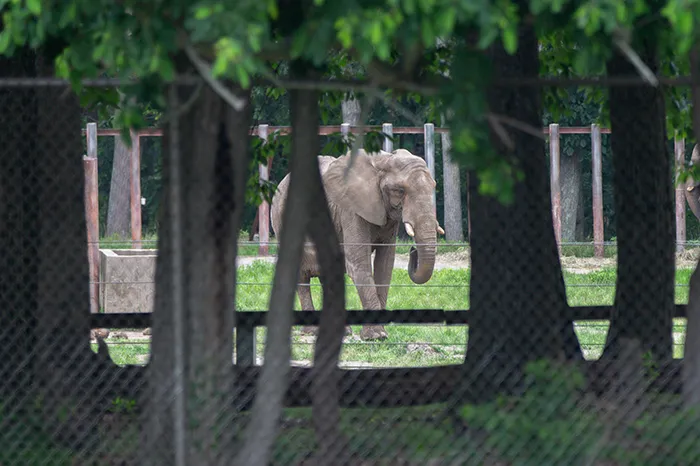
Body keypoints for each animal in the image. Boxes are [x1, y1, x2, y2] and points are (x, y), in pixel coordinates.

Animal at [270, 148, 444, 341]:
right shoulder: (351, 210)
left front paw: (379, 334)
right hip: (281, 217)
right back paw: (312, 331)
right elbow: (359, 264)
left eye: (433, 186)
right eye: (399, 190)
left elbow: (384, 266)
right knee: (301, 273)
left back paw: (341, 332)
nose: (413, 250)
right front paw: (376, 336)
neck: (383, 162)